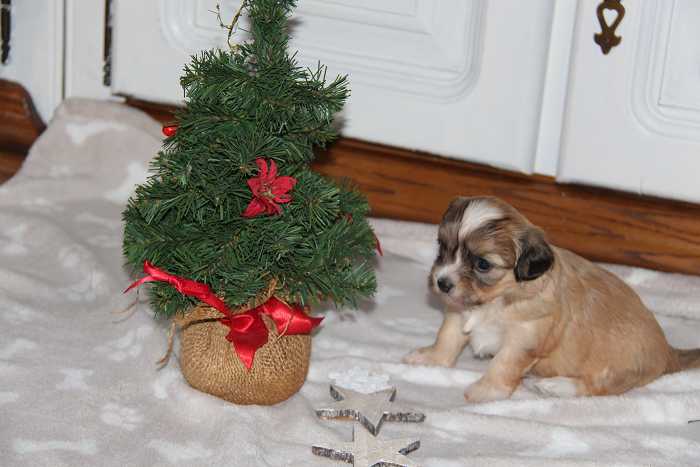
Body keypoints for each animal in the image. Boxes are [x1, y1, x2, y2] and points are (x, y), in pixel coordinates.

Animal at [403, 196, 700, 403]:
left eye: (482, 264)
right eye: (442, 247)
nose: (442, 282)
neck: (496, 300)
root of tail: (668, 351)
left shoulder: (524, 339)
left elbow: (503, 365)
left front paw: (486, 392)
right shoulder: (458, 313)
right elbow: (447, 338)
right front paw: (431, 359)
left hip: (617, 368)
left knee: (596, 387)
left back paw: (557, 386)